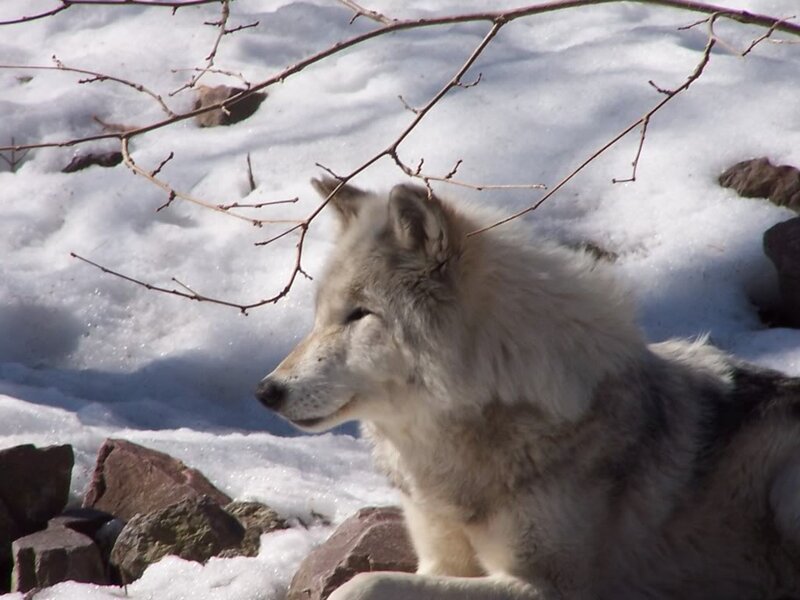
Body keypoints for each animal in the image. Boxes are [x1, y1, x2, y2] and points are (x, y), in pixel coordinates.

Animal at [256, 177, 800, 600]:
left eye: (359, 314)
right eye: (320, 316)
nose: (266, 392)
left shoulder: (551, 585)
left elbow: (363, 584)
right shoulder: (439, 559)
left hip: (785, 490)